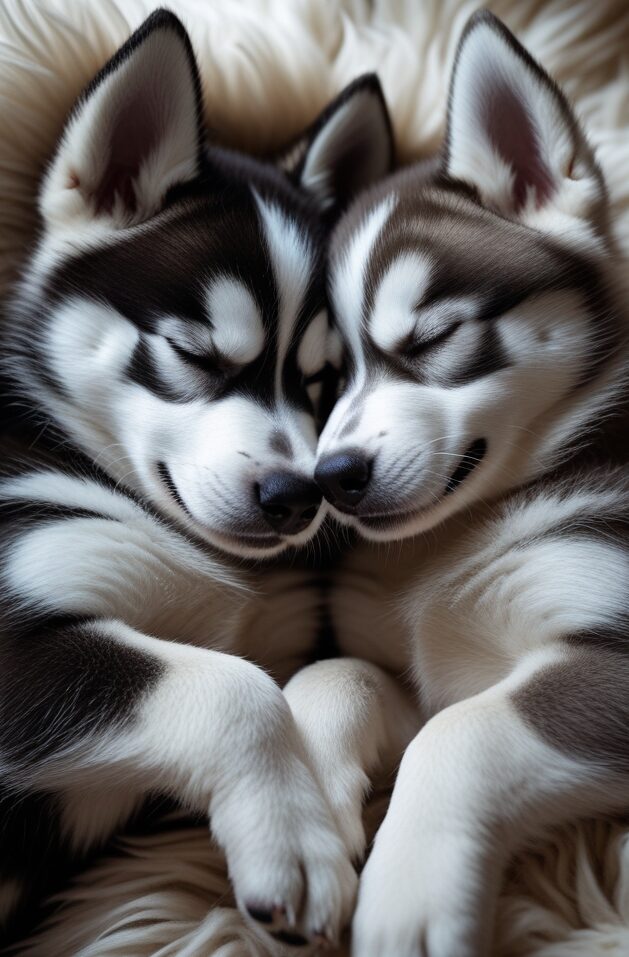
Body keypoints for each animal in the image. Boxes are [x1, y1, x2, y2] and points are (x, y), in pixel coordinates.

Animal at [0, 9, 398, 948]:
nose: (296, 497)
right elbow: (232, 686)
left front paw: (321, 794)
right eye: (195, 353)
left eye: (324, 381)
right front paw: (293, 841)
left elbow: (343, 669)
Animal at [292, 9, 628, 956]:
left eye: (434, 336)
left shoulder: (606, 655)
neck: (443, 547)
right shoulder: (404, 668)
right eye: (322, 379)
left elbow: (462, 731)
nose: (333, 476)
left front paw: (406, 896)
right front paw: (307, 805)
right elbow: (336, 674)